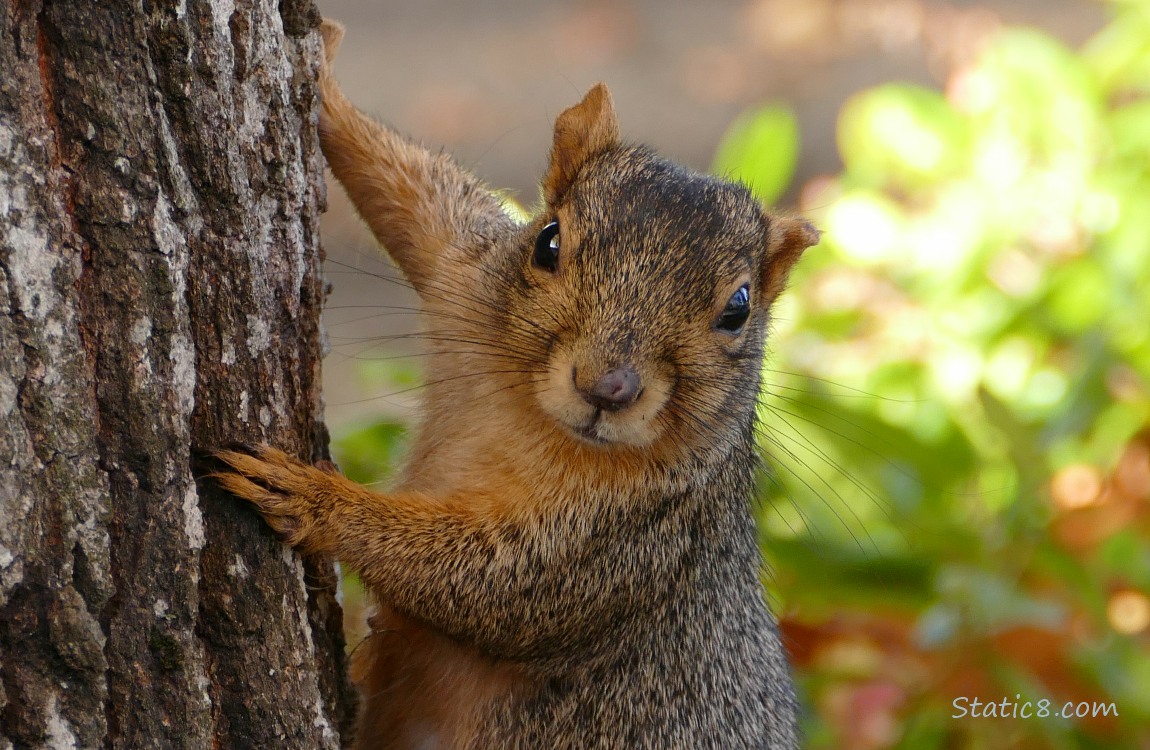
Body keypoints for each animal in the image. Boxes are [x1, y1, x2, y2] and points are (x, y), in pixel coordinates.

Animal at [207, 17, 818, 750]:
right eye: (548, 241)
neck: (526, 412)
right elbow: (413, 193)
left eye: (738, 310)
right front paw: (323, 81)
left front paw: (314, 498)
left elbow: (488, 586)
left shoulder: (628, 543)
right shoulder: (462, 271)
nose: (606, 388)